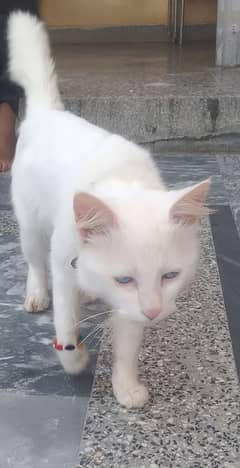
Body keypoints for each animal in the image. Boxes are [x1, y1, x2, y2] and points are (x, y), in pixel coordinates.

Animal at [8, 11, 209, 410]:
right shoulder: (64, 267)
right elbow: (66, 324)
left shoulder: (129, 308)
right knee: (35, 264)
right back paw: (36, 294)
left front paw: (125, 387)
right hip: (32, 228)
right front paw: (75, 359)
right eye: (124, 279)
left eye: (170, 276)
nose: (154, 312)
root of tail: (48, 112)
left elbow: (127, 347)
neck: (120, 180)